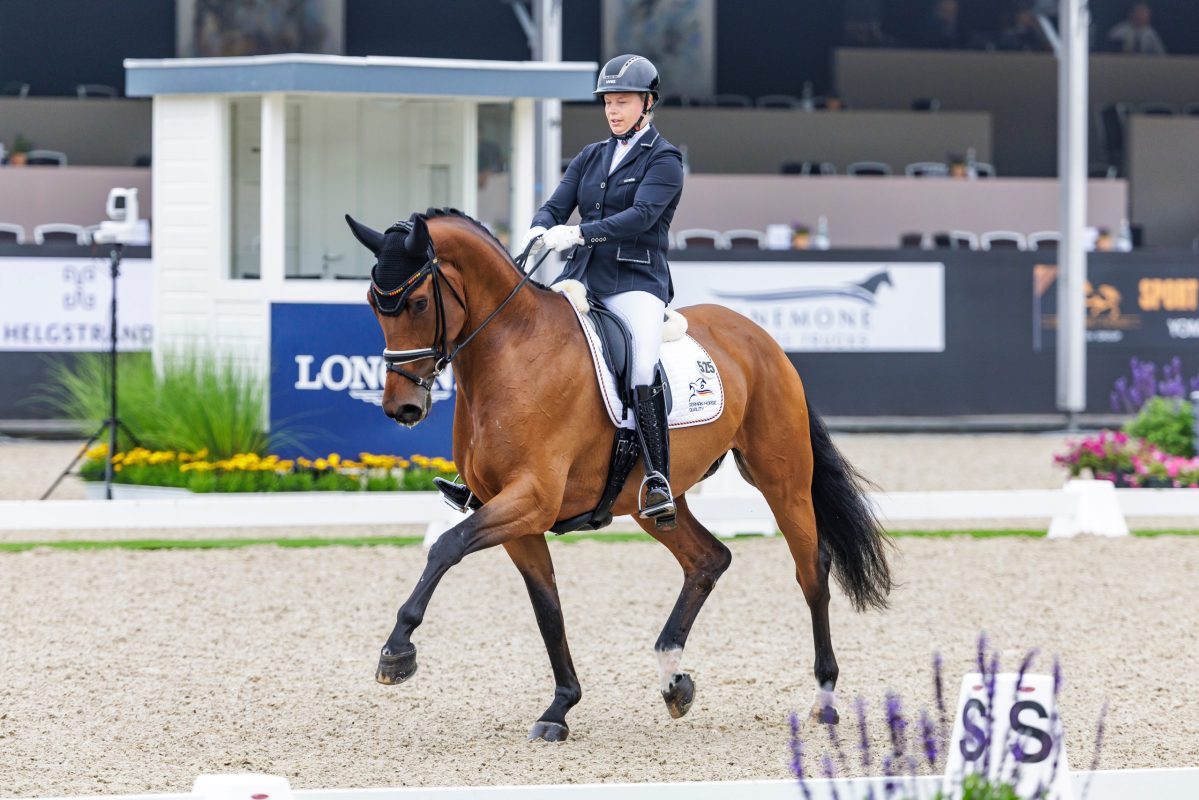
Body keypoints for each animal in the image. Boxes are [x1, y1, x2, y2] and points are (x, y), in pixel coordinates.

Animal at [345, 207, 892, 742]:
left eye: (418, 302)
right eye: (373, 303)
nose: (402, 408)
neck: (513, 351)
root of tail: (764, 340)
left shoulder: (531, 499)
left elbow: (446, 547)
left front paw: (396, 653)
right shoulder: (517, 516)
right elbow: (547, 608)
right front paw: (560, 708)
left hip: (782, 479)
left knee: (811, 570)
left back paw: (824, 699)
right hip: (652, 501)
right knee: (708, 559)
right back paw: (673, 679)